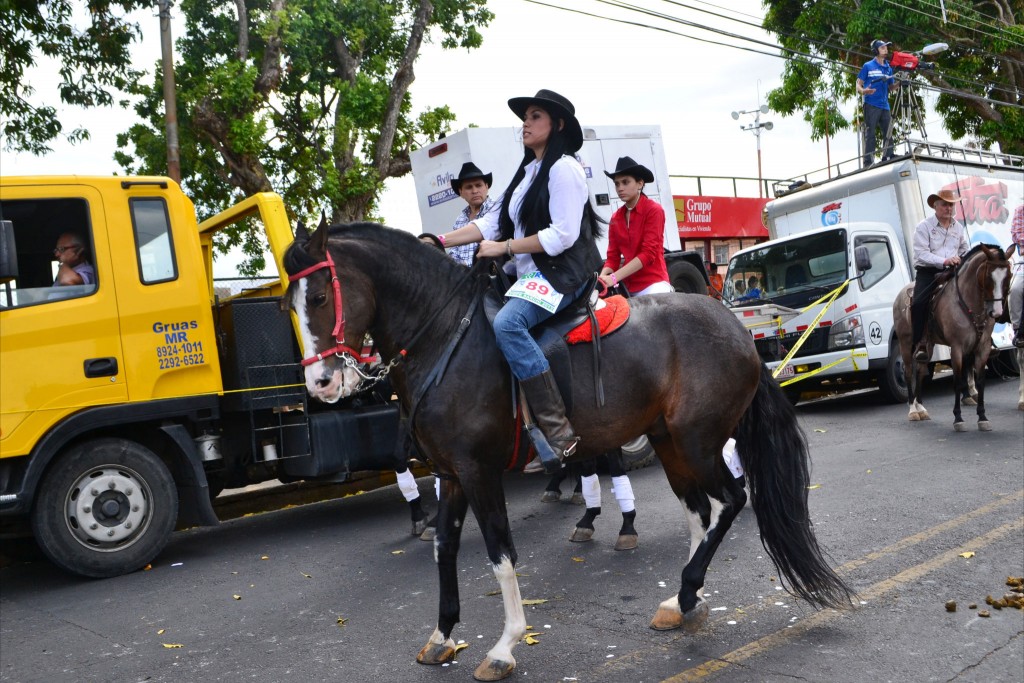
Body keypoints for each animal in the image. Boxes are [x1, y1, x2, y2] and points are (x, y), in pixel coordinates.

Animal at [284, 222, 851, 679]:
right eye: (288, 305)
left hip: (699, 441)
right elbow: (445, 548)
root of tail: (734, 326)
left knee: (731, 500)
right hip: (670, 441)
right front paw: (442, 636)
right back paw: (683, 601)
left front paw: (505, 646)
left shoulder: (479, 470)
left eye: (319, 298)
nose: (321, 383)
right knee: (700, 511)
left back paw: (690, 588)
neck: (446, 339)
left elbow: (500, 553)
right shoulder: (451, 473)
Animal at [892, 242, 1011, 430]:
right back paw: (912, 410)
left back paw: (921, 408)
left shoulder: (982, 347)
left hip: (928, 345)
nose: (997, 312)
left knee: (920, 371)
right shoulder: (957, 348)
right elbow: (958, 380)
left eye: (1008, 276)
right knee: (908, 372)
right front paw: (958, 419)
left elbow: (980, 381)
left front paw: (982, 417)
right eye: (988, 277)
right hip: (905, 343)